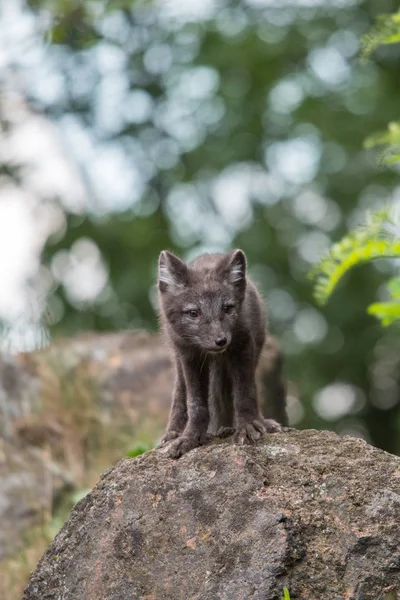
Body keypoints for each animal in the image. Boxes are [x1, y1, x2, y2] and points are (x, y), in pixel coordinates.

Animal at [156, 248, 282, 460]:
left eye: (227, 308)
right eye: (193, 313)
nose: (221, 340)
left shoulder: (242, 346)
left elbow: (245, 394)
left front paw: (247, 426)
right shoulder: (190, 357)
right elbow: (196, 404)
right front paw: (190, 438)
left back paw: (251, 424)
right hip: (179, 359)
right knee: (180, 394)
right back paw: (173, 433)